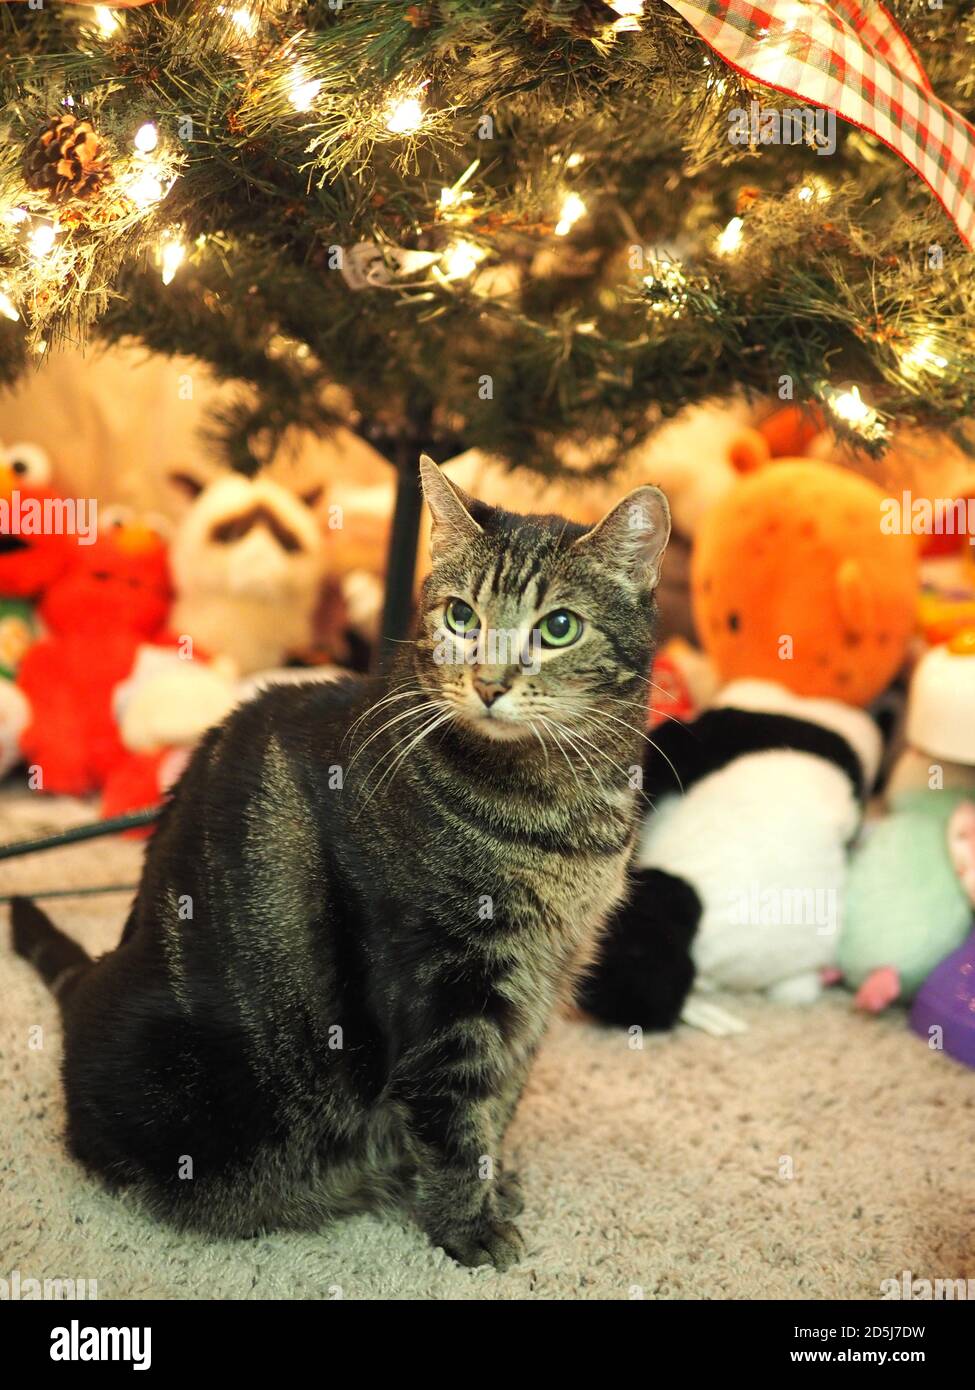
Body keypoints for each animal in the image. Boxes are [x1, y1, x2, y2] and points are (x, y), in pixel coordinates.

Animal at [13, 458, 670, 1273]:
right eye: (461, 617)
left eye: (558, 628)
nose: (488, 683)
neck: (559, 807)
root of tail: (92, 982)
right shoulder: (444, 980)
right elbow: (455, 1115)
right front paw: (468, 1226)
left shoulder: (543, 976)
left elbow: (503, 1093)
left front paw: (492, 1181)